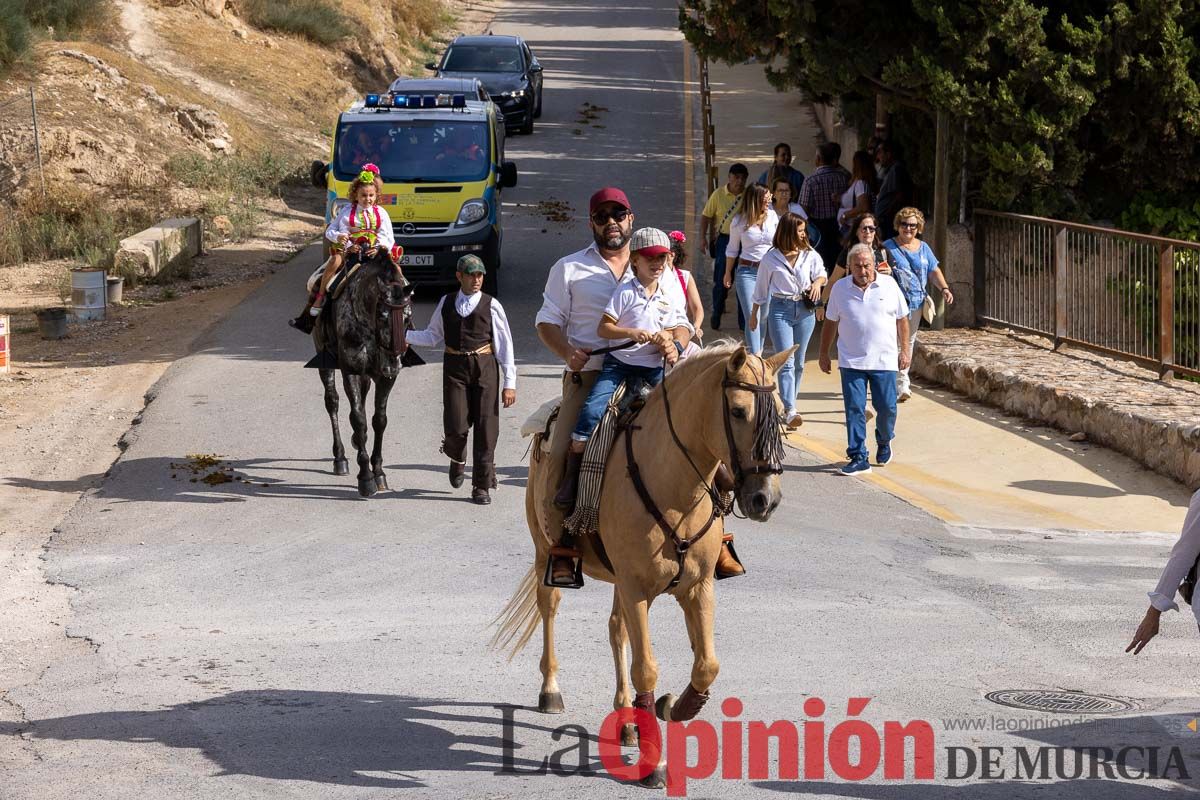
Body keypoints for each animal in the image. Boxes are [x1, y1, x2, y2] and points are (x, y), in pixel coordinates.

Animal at [309, 247, 412, 496]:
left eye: (407, 317)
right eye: (382, 316)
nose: (393, 364)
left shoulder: (386, 378)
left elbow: (379, 420)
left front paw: (379, 472)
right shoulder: (351, 370)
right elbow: (358, 419)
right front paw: (366, 477)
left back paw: (357, 442)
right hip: (324, 358)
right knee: (332, 401)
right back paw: (340, 458)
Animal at [492, 345, 792, 786]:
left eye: (783, 414)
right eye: (738, 411)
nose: (765, 499)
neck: (674, 486)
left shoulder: (696, 587)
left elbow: (706, 665)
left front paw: (672, 707)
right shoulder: (636, 588)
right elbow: (646, 669)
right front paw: (655, 762)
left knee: (617, 629)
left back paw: (628, 720)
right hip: (545, 550)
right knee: (551, 607)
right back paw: (551, 690)